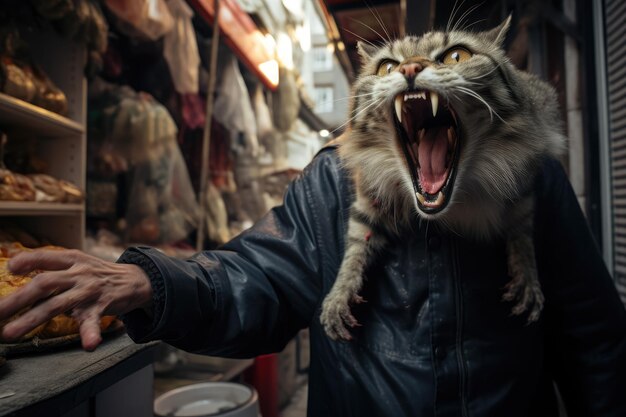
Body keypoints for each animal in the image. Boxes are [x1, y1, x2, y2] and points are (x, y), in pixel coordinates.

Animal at [320, 17, 564, 342]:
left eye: (456, 56)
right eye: (387, 66)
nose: (409, 69)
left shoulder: (523, 188)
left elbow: (522, 235)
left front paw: (527, 277)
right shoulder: (367, 196)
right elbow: (356, 244)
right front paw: (338, 295)